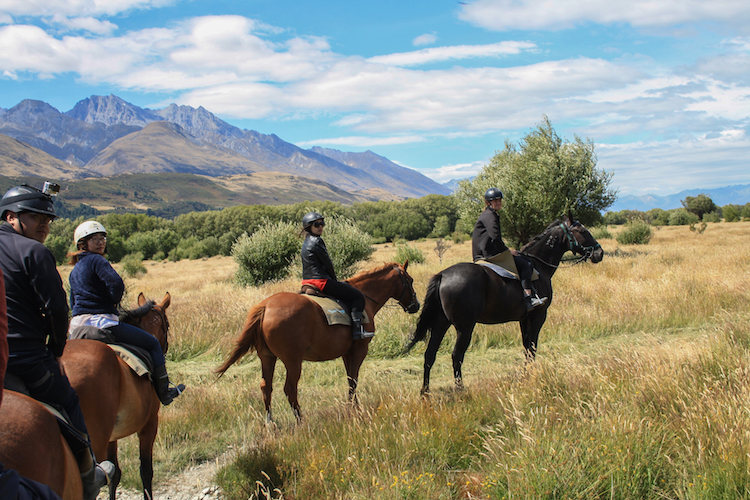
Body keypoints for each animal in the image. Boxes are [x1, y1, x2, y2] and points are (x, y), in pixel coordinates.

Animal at [62, 292, 173, 500]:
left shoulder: (112, 435)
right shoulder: (149, 424)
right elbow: (146, 471)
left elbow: (114, 474)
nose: (165, 347)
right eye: (167, 325)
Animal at [214, 262, 420, 422]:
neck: (365, 296)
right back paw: (300, 420)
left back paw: (270, 422)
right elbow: (354, 380)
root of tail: (266, 306)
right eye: (410, 281)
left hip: (267, 358)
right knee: (290, 388)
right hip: (293, 361)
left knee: (266, 387)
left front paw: (352, 406)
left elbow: (349, 379)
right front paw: (355, 409)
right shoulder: (360, 350)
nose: (416, 306)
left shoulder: (347, 353)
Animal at [406, 215, 604, 394]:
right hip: (465, 327)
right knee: (457, 356)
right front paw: (531, 376)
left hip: (441, 324)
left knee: (430, 354)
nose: (599, 253)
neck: (539, 264)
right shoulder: (538, 316)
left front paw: (526, 375)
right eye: (583, 231)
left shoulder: (524, 319)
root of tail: (443, 275)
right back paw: (460, 389)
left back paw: (425, 391)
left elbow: (526, 347)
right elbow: (532, 347)